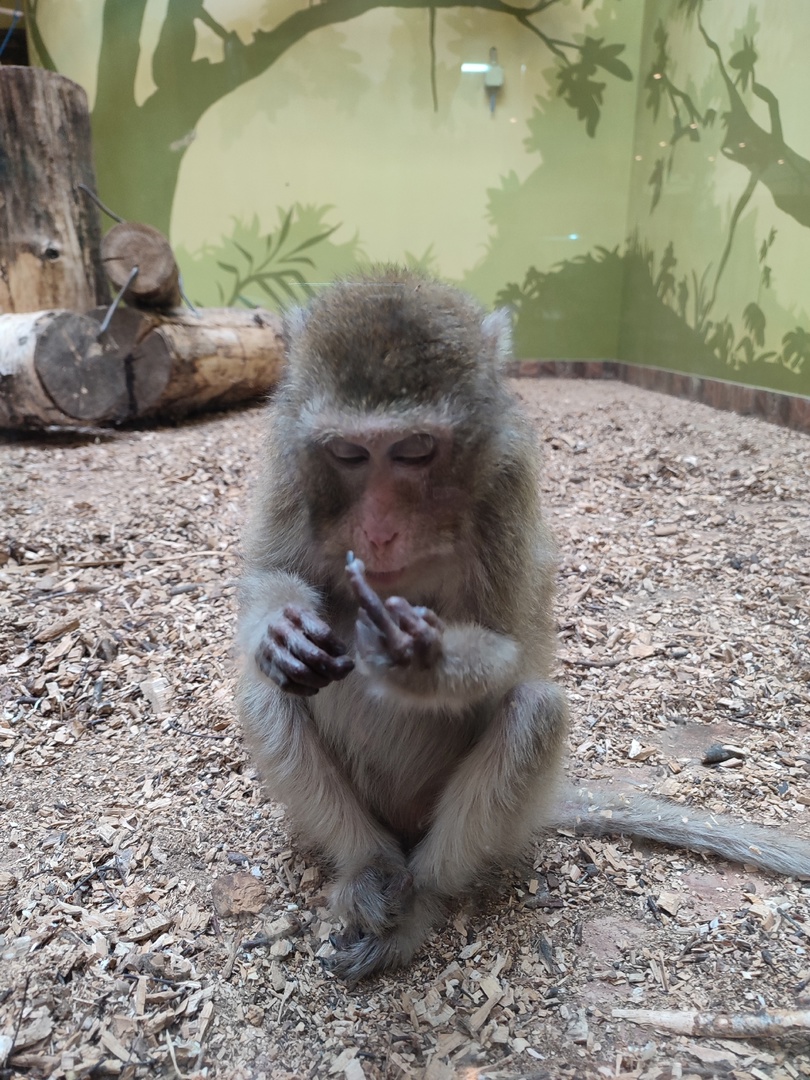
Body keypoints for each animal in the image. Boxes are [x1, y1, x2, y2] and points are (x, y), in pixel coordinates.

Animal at [237, 267, 810, 989]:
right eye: (347, 452)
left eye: (415, 450)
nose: (380, 530)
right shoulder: (289, 457)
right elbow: (268, 576)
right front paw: (282, 630)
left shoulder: (507, 481)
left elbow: (512, 650)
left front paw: (423, 661)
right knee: (266, 693)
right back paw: (369, 871)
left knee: (534, 712)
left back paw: (418, 906)